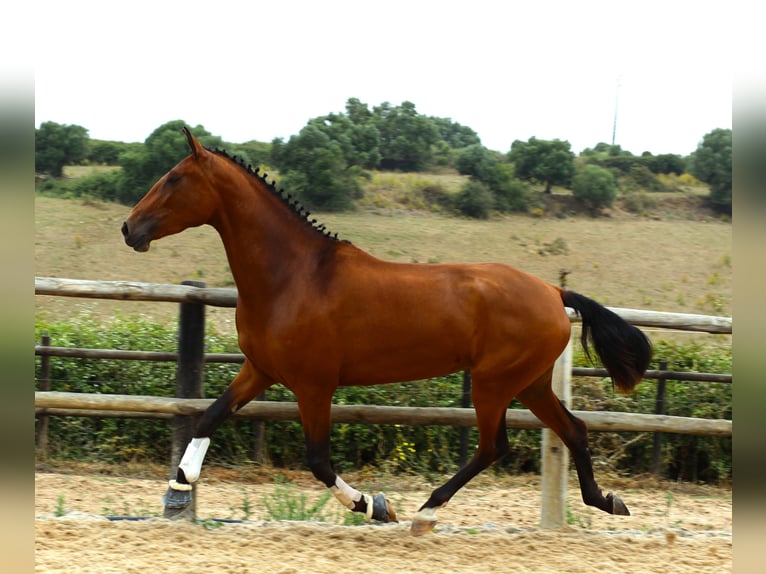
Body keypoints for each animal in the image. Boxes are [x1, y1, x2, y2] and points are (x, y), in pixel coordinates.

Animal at [123, 127, 652, 536]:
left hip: (494, 382)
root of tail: (552, 291)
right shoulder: (260, 370)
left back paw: (425, 512)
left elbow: (318, 460)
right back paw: (607, 501)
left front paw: (375, 506)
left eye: (173, 179)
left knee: (492, 446)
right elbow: (208, 417)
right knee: (573, 430)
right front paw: (177, 489)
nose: (130, 229)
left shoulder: (313, 385)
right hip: (531, 382)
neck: (294, 276)